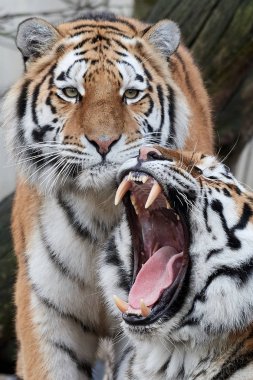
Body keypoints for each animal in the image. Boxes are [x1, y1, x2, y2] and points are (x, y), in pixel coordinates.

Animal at [2, 11, 214, 380]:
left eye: (130, 94)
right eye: (70, 92)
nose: (103, 142)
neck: (99, 205)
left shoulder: (148, 309)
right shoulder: (45, 311)